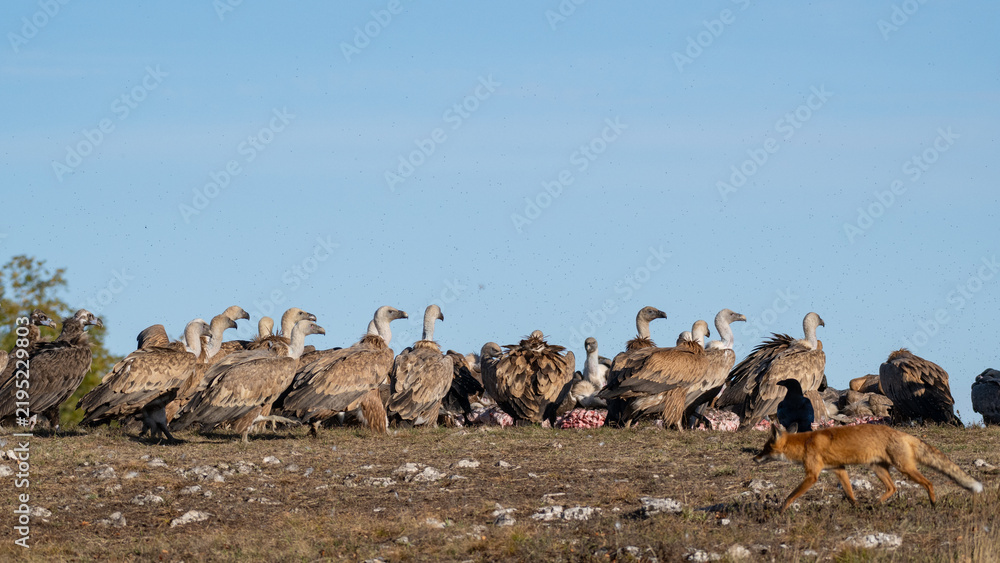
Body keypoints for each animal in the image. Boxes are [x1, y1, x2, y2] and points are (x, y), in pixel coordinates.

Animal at [754, 423, 983, 512]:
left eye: (765, 449)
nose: (755, 458)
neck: (804, 443)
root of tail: (904, 434)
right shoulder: (839, 469)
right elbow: (849, 492)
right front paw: (856, 507)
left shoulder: (812, 476)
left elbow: (791, 495)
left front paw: (781, 509)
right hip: (878, 468)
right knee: (893, 488)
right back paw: (875, 504)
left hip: (904, 469)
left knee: (929, 482)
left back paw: (933, 503)